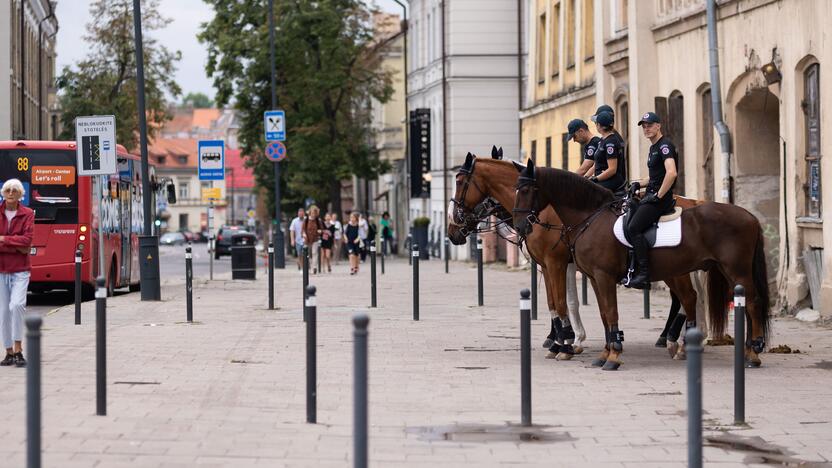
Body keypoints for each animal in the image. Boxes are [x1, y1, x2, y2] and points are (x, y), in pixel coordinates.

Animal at [448, 154, 708, 362]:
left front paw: (567, 342)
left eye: (459, 182)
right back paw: (679, 338)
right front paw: (564, 340)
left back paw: (678, 340)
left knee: (686, 297)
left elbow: (566, 302)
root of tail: (692, 201)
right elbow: (555, 302)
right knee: (686, 297)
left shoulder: (557, 263)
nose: (453, 228)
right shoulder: (551, 265)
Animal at [512, 161, 772, 370]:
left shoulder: (597, 275)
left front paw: (612, 356)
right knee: (705, 301)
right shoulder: (593, 278)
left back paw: (753, 352)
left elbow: (607, 311)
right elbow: (603, 314)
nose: (520, 225)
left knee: (751, 303)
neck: (591, 217)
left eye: (525, 190)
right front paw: (604, 352)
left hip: (735, 270)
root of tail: (750, 216)